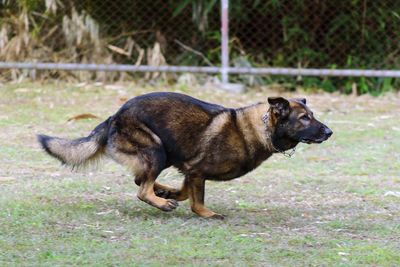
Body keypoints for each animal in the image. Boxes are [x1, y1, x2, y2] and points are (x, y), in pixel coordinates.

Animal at [37, 92, 332, 220]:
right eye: (305, 118)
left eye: (312, 115)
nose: (329, 132)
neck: (259, 128)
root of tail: (115, 116)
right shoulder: (197, 171)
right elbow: (196, 201)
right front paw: (207, 214)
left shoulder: (189, 171)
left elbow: (183, 192)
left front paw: (169, 192)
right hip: (156, 149)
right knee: (141, 189)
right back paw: (160, 201)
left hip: (163, 154)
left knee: (140, 180)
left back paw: (161, 192)